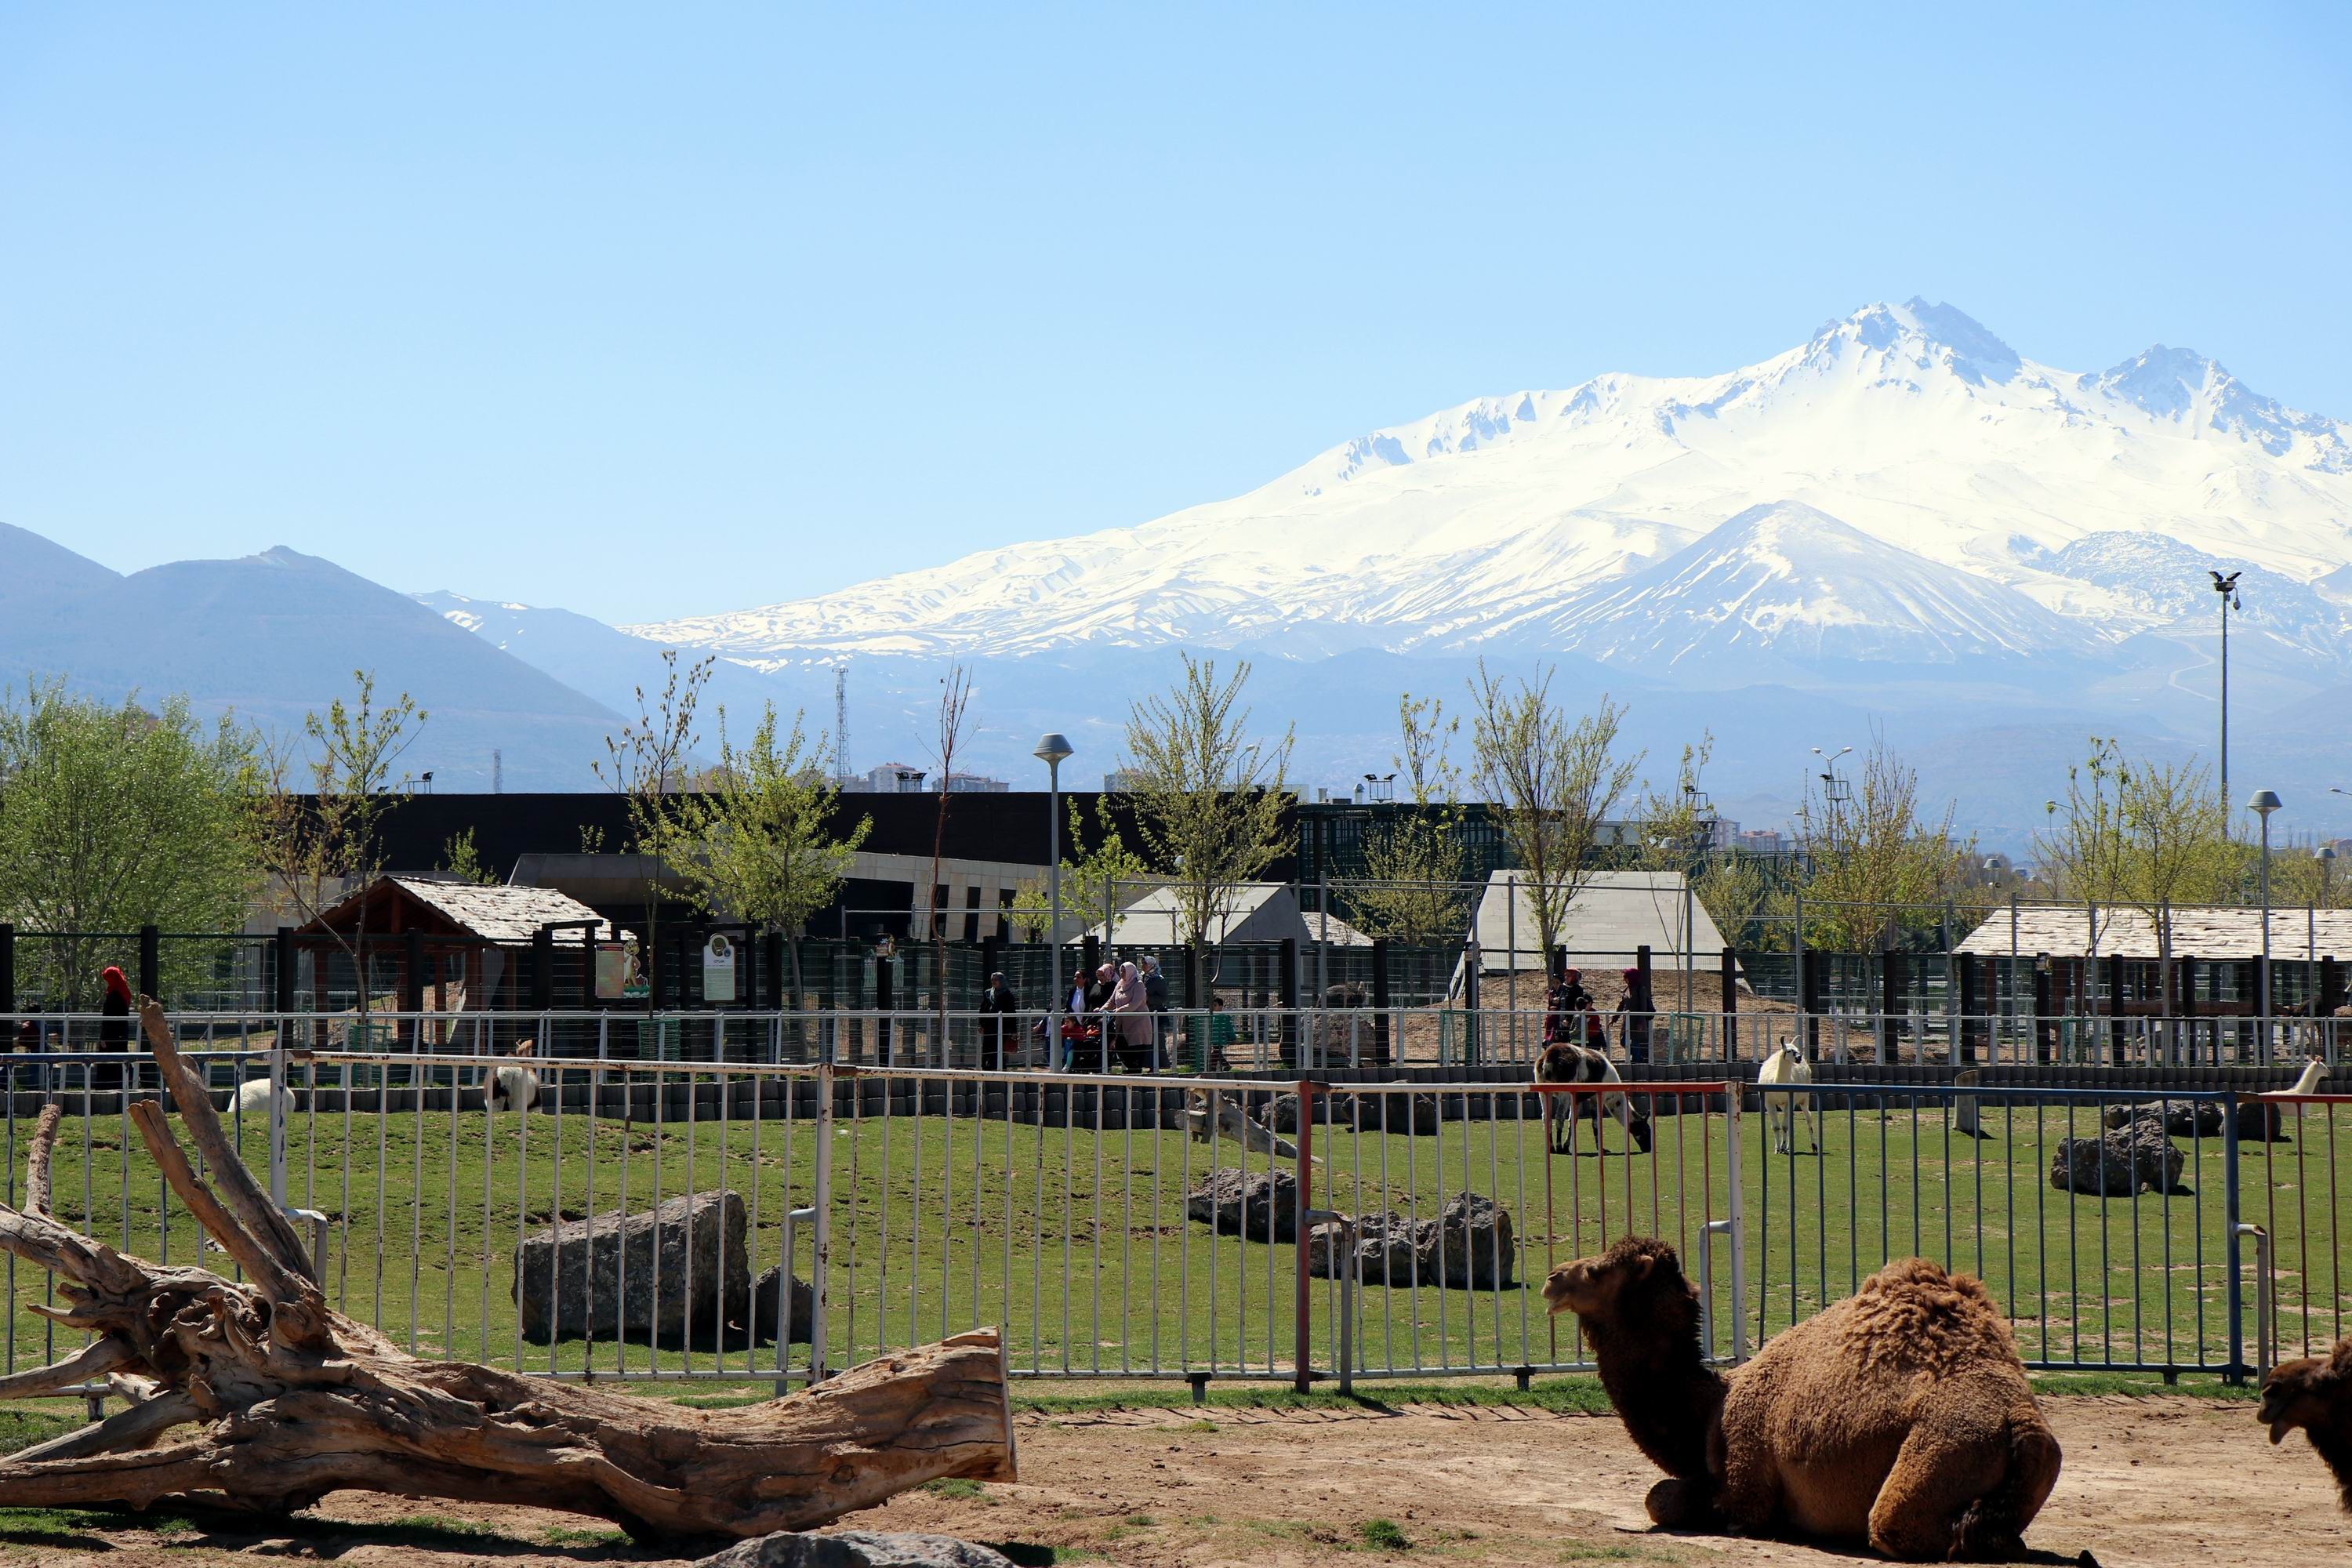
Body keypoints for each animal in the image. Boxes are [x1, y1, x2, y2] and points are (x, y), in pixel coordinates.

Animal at [1524, 1048, 1656, 1161]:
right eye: (1646, 1131)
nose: (1648, 1148)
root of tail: (1548, 1058)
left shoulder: (1577, 1099)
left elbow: (1573, 1121)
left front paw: (1567, 1147)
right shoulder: (1597, 1096)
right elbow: (1595, 1122)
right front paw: (1601, 1149)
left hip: (1543, 1090)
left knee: (1546, 1117)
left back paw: (1551, 1148)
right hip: (1563, 1092)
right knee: (1559, 1117)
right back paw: (1559, 1147)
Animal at [1552, 1241, 2070, 1561]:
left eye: (1597, 1271)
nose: (1553, 1279)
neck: (1715, 1406)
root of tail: (2022, 1422)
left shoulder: (1746, 1491)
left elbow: (1661, 1499)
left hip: (1939, 1450)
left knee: (1903, 1529)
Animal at [1769, 1034, 1816, 1161]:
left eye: (1798, 1050)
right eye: (1789, 1051)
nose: (1799, 1057)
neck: (1776, 1081)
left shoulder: (1790, 1101)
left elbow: (1785, 1126)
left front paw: (1783, 1148)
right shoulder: (1768, 1102)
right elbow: (1776, 1127)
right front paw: (1778, 1149)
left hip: (1804, 1098)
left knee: (1808, 1117)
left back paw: (1814, 1146)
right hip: (1783, 1104)